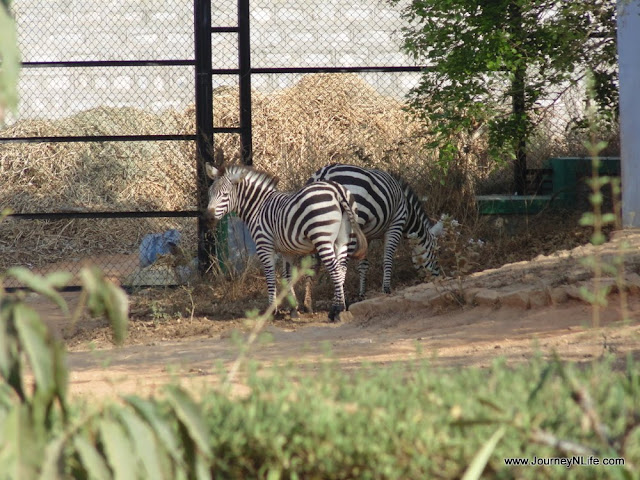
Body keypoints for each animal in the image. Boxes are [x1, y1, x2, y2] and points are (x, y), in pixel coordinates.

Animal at [205, 163, 364, 320]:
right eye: (210, 193)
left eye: (225, 195)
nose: (209, 217)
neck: (258, 207)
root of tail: (337, 190)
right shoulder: (288, 251)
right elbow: (288, 277)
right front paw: (293, 309)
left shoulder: (264, 246)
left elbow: (270, 277)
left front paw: (271, 310)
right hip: (343, 240)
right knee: (342, 270)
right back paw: (337, 308)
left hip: (322, 238)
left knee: (335, 270)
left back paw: (337, 310)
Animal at [304, 163, 440, 306]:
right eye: (436, 254)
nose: (438, 278)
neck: (408, 212)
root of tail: (324, 174)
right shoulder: (396, 224)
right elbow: (387, 258)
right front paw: (386, 289)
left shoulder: (366, 236)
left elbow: (363, 265)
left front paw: (362, 294)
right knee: (340, 262)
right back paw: (341, 302)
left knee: (312, 265)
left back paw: (308, 304)